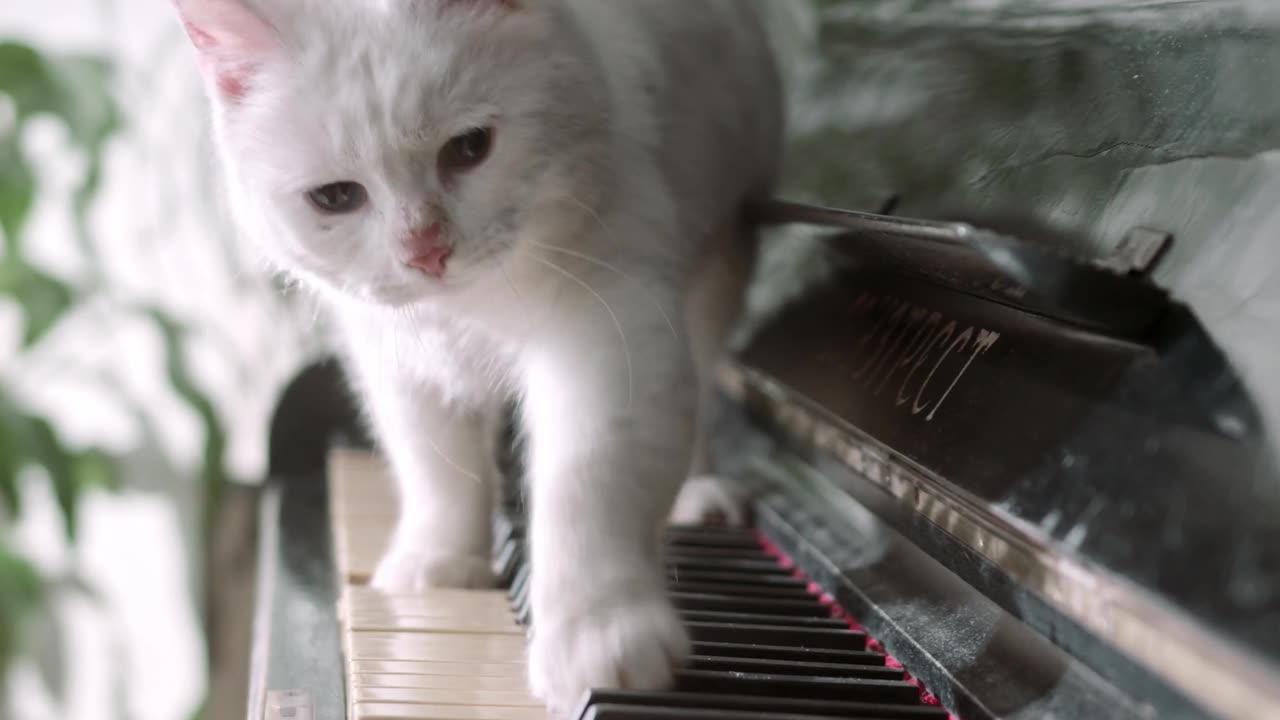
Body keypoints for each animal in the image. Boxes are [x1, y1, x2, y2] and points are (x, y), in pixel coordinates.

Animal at [172, 0, 778, 707]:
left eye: (468, 149)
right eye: (336, 198)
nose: (425, 251)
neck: (469, 311)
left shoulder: (611, 340)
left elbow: (587, 488)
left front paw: (598, 639)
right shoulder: (400, 365)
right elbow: (436, 470)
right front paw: (442, 564)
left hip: (718, 262)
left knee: (703, 384)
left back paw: (699, 493)